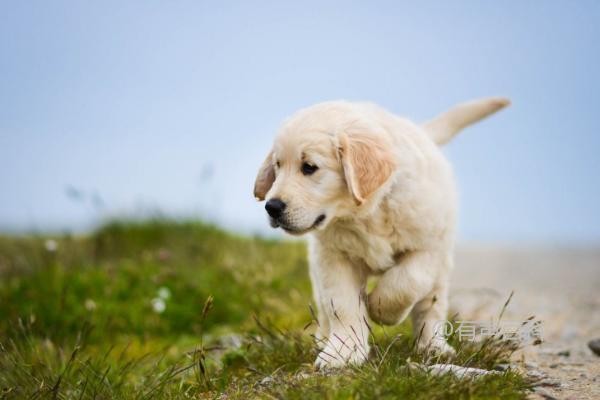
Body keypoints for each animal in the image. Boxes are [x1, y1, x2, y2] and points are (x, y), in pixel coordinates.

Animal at [251, 97, 508, 368]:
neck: (366, 213)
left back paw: (433, 346)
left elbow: (407, 282)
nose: (272, 206)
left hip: (442, 262)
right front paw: (344, 351)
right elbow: (341, 304)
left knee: (432, 303)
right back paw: (324, 338)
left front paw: (380, 309)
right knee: (323, 305)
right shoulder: (333, 256)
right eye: (278, 166)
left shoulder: (429, 246)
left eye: (309, 167)